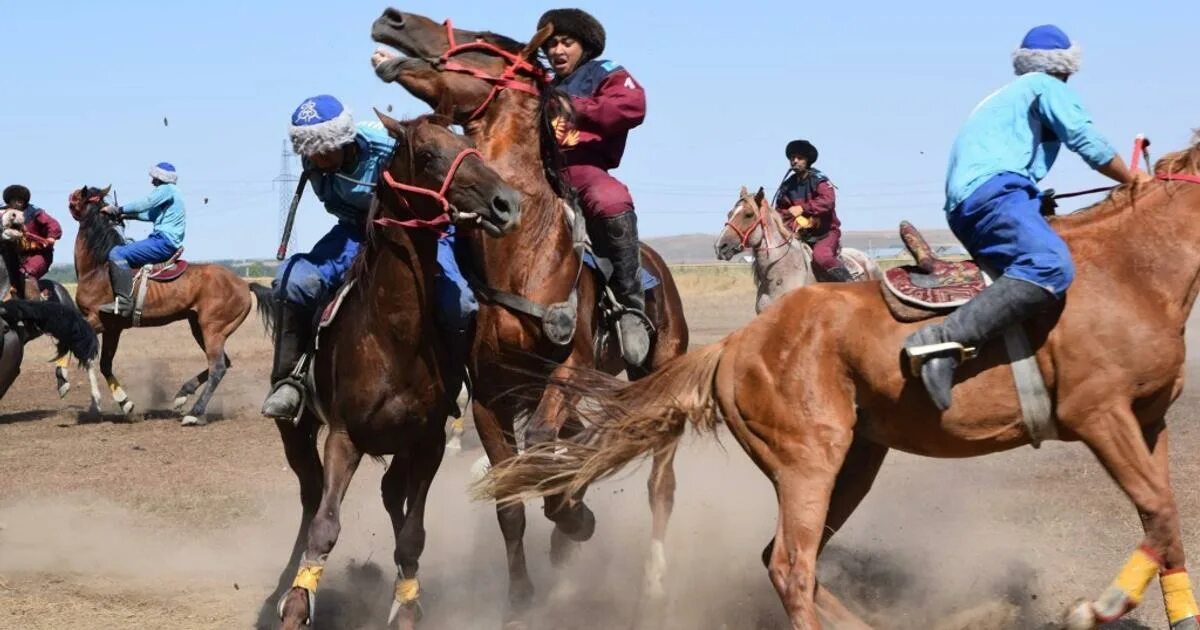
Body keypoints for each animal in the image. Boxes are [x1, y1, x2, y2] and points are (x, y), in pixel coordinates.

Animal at [67, 187, 258, 422]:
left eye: (76, 197)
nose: (68, 201)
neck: (98, 269)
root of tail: (244, 285)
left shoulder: (98, 321)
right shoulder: (113, 329)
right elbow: (104, 363)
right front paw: (124, 403)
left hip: (212, 330)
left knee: (218, 367)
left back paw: (194, 413)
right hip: (200, 328)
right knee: (224, 363)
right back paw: (182, 394)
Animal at [262, 114, 520, 628]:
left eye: (464, 143)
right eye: (427, 154)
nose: (506, 203)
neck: (392, 334)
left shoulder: (428, 441)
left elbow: (412, 536)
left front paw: (407, 605)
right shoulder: (343, 437)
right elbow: (325, 525)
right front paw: (297, 603)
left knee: (389, 494)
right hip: (297, 431)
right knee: (311, 495)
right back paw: (285, 583)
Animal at [374, 8, 696, 624]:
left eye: (483, 45)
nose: (390, 19)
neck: (523, 252)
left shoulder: (569, 369)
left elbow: (545, 446)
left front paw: (574, 517)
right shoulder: (489, 396)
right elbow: (511, 501)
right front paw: (521, 597)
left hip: (658, 377)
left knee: (661, 486)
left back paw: (653, 583)